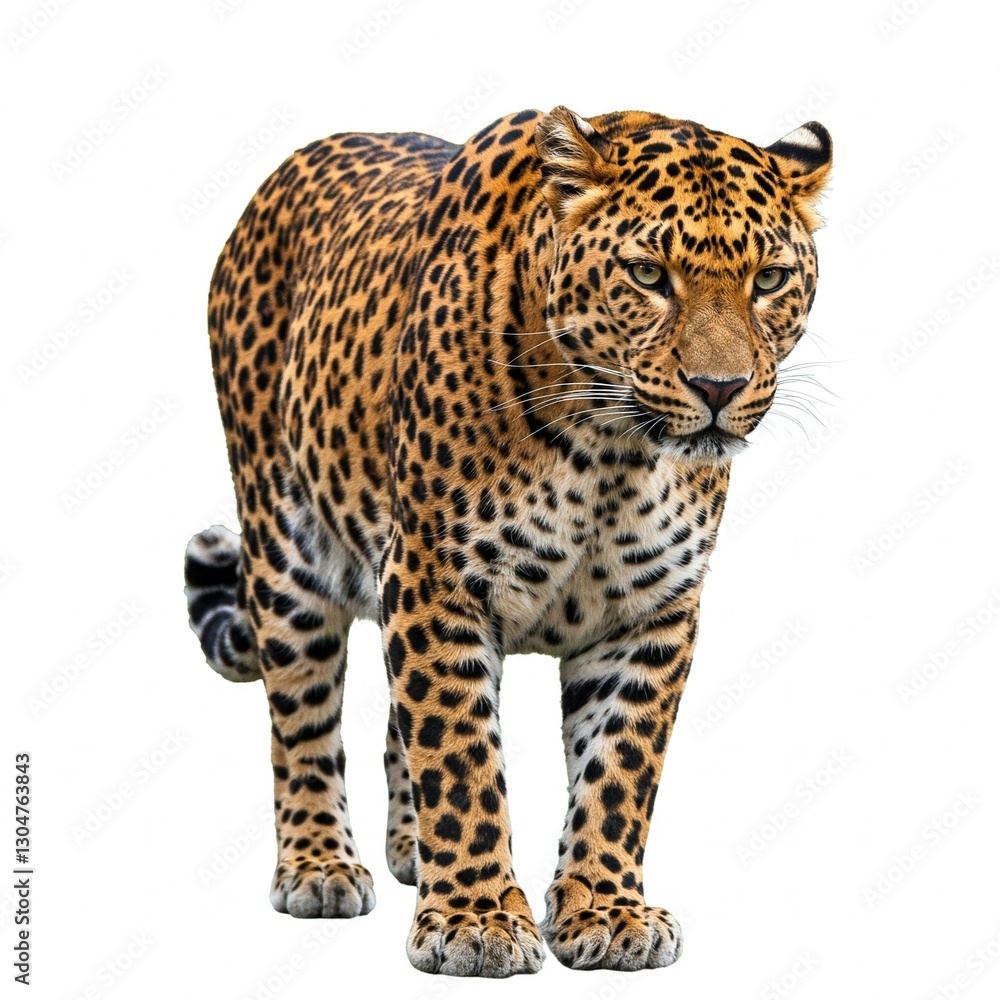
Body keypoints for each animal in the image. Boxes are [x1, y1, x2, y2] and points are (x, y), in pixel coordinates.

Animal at [184, 105, 831, 977]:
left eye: (768, 280)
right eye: (648, 276)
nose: (719, 389)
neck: (612, 453)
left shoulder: (653, 611)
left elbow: (619, 768)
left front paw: (607, 910)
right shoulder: (435, 579)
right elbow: (458, 753)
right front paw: (477, 921)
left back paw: (410, 851)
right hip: (287, 547)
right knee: (303, 716)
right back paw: (319, 865)